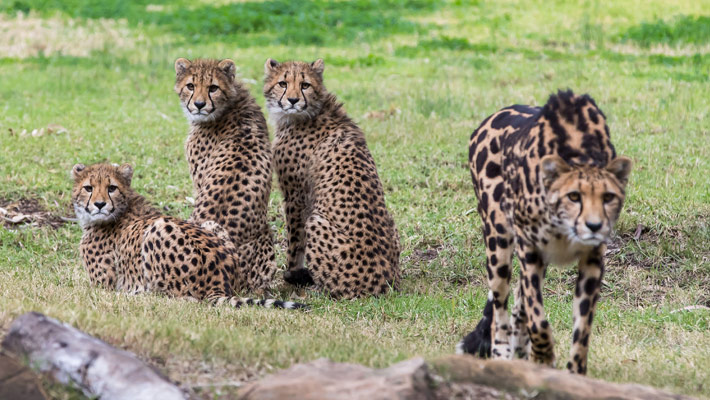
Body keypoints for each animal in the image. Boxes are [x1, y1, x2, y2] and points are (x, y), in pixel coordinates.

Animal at [72, 162, 306, 310]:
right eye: (88, 188)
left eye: (112, 187)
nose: (99, 204)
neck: (122, 207)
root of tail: (219, 283)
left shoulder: (102, 285)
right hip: (210, 224)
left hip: (159, 228)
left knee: (179, 298)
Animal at [264, 58, 404, 296]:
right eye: (282, 83)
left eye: (305, 85)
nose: (292, 100)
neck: (311, 112)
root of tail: (386, 281)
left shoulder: (295, 196)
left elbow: (295, 242)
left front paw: (290, 275)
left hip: (316, 221)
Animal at [462, 90, 636, 376]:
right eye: (573, 196)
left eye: (608, 197)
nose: (594, 226)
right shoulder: (530, 250)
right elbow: (538, 317)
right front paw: (544, 358)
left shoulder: (592, 260)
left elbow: (582, 327)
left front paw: (575, 372)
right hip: (499, 242)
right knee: (501, 308)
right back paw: (503, 356)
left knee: (518, 303)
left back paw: (522, 352)